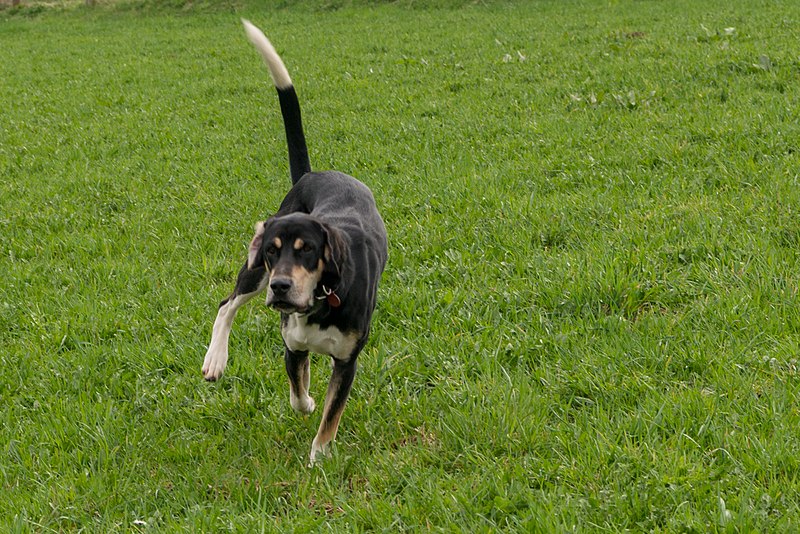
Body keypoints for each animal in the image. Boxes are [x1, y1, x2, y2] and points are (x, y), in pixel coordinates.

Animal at [200, 18, 388, 466]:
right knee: (226, 304)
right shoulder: (292, 342)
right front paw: (306, 406)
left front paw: (319, 456)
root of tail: (312, 174)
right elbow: (299, 393)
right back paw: (216, 358)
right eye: (273, 251)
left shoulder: (347, 362)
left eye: (309, 252)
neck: (321, 298)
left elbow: (331, 413)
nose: (280, 286)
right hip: (251, 276)